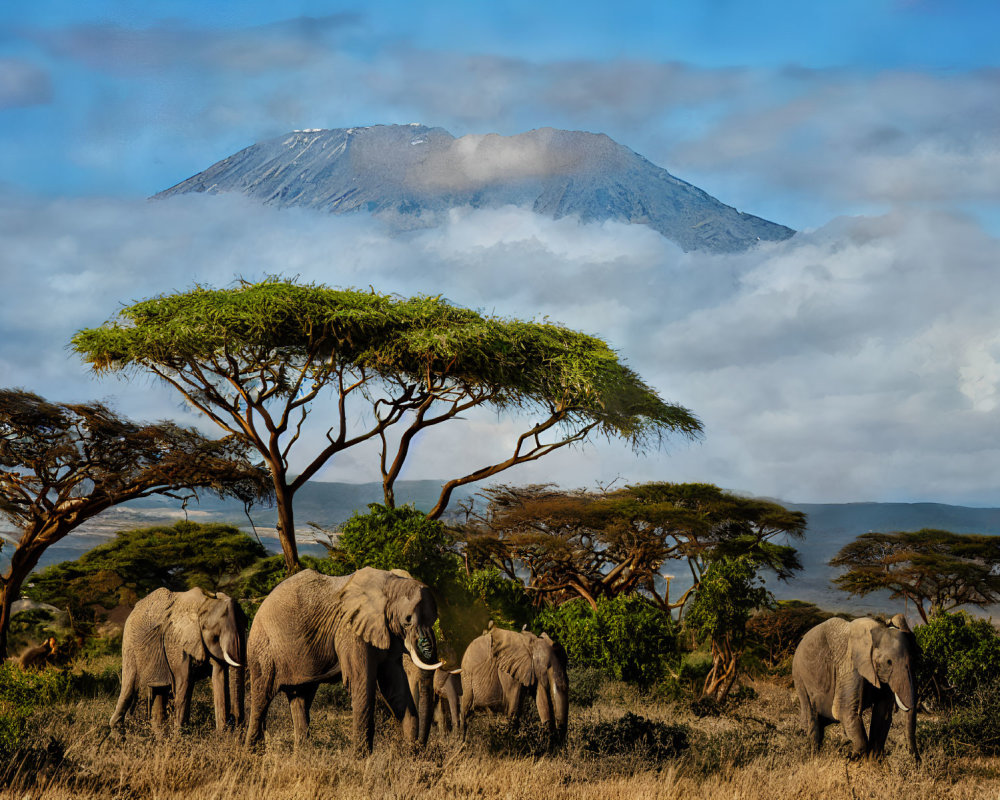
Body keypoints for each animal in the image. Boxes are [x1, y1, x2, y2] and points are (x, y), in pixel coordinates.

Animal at [110, 584, 247, 736]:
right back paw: (118, 735)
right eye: (216, 634)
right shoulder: (176, 641)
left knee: (160, 690)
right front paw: (180, 736)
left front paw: (221, 736)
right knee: (129, 687)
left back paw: (159, 736)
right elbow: (184, 680)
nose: (234, 720)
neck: (205, 602)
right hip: (130, 645)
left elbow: (219, 675)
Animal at [244, 564, 440, 752]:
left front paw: (409, 755)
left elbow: (394, 688)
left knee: (300, 697)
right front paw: (361, 760)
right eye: (407, 620)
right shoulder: (350, 630)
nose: (418, 749)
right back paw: (252, 754)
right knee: (262, 697)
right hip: (262, 648)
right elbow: (362, 683)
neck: (391, 584)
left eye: (433, 619)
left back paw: (301, 755)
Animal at [792, 612, 916, 764]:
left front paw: (872, 762)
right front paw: (850, 757)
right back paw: (813, 757)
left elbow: (882, 714)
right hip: (800, 678)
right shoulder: (850, 666)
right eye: (889, 662)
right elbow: (845, 710)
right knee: (812, 719)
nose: (915, 759)